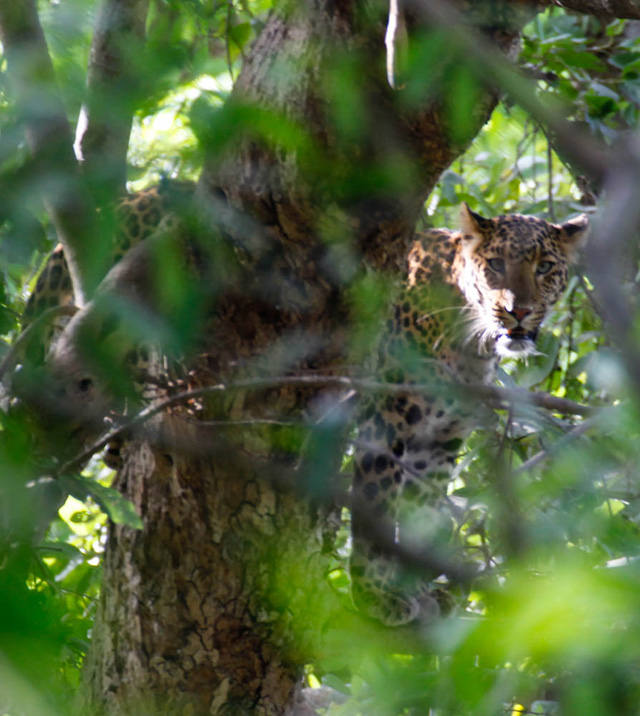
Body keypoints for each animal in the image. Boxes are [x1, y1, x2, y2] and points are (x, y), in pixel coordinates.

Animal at [350, 203, 592, 628]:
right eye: (496, 263)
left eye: (545, 267)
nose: (518, 311)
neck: (467, 342)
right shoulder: (385, 416)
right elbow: (376, 501)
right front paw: (374, 593)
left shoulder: (439, 438)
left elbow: (420, 510)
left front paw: (418, 588)